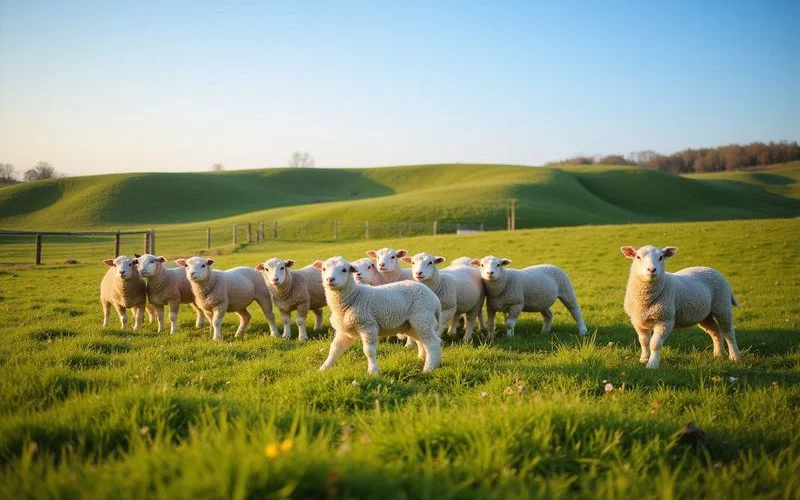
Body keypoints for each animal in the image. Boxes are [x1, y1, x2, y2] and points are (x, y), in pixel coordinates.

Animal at [314, 256, 442, 374]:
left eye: (344, 270)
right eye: (323, 269)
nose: (330, 279)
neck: (353, 297)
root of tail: (435, 299)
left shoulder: (368, 326)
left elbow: (369, 351)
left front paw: (373, 371)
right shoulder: (344, 332)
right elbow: (334, 349)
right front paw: (323, 368)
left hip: (423, 317)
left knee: (433, 342)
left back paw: (429, 368)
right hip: (411, 325)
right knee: (423, 341)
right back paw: (425, 359)